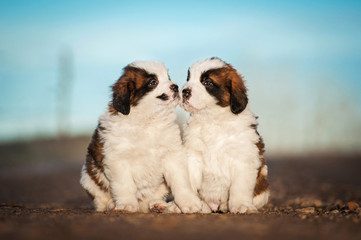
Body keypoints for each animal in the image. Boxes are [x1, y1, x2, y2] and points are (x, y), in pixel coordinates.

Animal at [80, 61, 201, 213]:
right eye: (153, 82)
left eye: (168, 77)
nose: (175, 86)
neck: (147, 119)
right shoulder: (118, 158)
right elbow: (125, 184)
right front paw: (127, 204)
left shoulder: (171, 154)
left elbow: (180, 181)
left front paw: (189, 202)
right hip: (89, 178)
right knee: (101, 201)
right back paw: (112, 205)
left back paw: (158, 205)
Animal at [181, 57, 268, 214]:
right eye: (188, 79)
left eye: (207, 82)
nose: (184, 91)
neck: (213, 119)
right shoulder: (193, 155)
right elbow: (190, 180)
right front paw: (186, 203)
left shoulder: (243, 158)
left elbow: (239, 187)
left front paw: (241, 205)